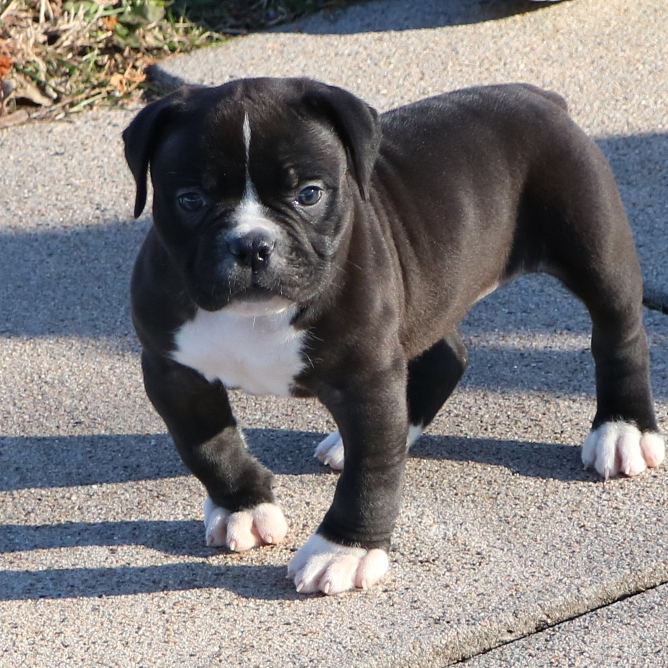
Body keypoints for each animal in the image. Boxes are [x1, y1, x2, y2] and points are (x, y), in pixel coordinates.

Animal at [124, 77, 664, 596]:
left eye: (309, 194)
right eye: (190, 201)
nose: (252, 245)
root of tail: (538, 97)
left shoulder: (366, 381)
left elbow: (371, 475)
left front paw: (343, 551)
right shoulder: (174, 372)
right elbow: (207, 447)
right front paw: (243, 507)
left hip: (592, 243)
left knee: (618, 334)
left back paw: (624, 430)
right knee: (445, 357)